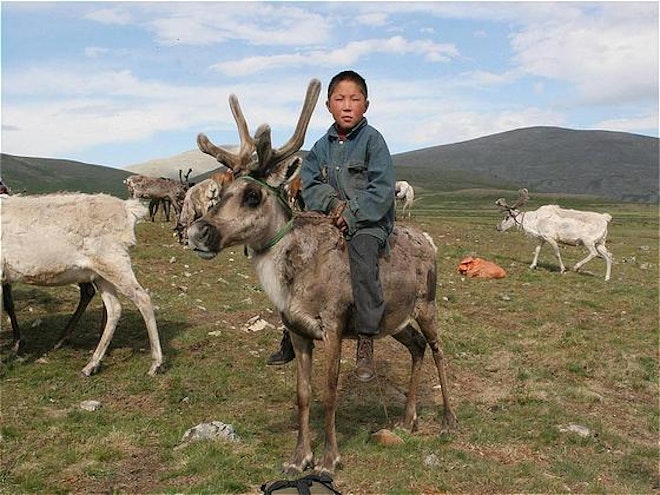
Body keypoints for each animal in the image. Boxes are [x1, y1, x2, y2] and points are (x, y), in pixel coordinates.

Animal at [187, 79, 458, 476]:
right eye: (220, 192)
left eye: (252, 195)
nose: (197, 232)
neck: (293, 282)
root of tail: (429, 239)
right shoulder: (299, 332)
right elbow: (304, 394)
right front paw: (299, 457)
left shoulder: (333, 325)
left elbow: (329, 391)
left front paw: (330, 459)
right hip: (394, 319)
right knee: (418, 347)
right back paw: (408, 419)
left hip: (427, 305)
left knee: (438, 349)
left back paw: (448, 421)